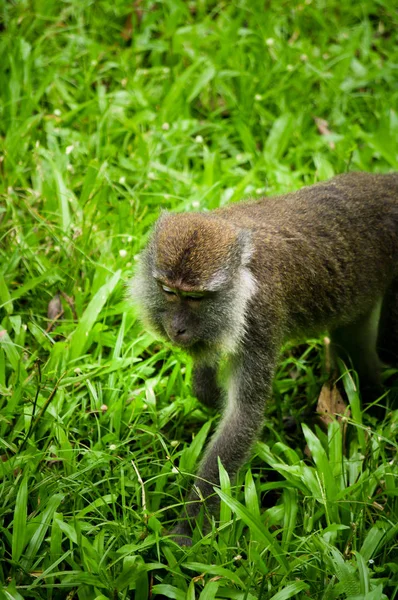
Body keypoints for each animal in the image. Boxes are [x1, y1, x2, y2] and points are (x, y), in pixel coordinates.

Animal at [130, 170, 398, 544]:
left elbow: (243, 415)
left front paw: (189, 529)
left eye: (195, 298)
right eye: (169, 291)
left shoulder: (259, 317)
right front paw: (207, 386)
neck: (242, 276)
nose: (177, 327)